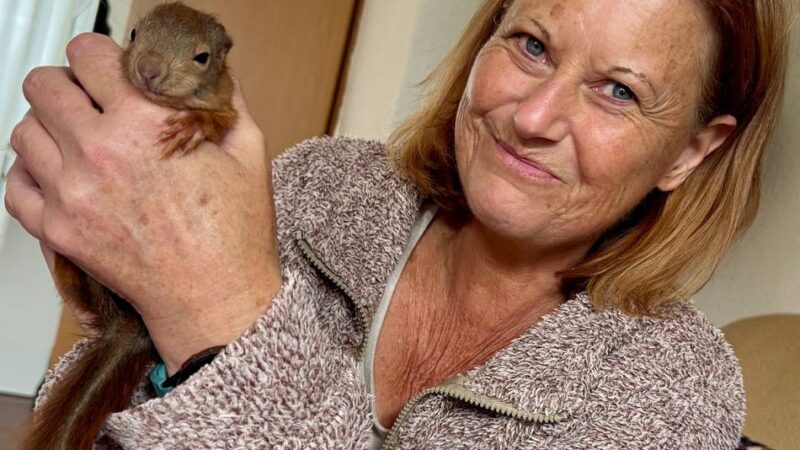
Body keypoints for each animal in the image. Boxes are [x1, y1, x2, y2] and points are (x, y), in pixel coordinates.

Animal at [17, 3, 237, 449]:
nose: (149, 69)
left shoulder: (227, 104)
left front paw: (194, 126)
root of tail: (130, 322)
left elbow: (218, 121)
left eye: (202, 57)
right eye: (134, 33)